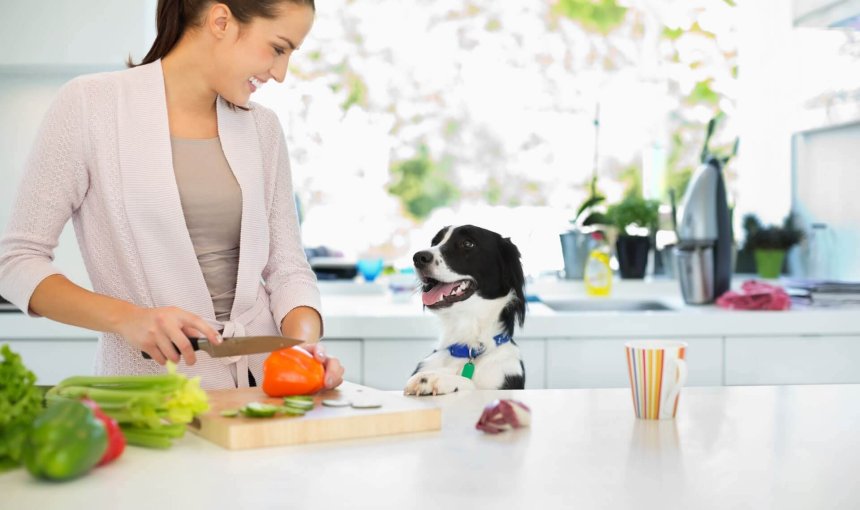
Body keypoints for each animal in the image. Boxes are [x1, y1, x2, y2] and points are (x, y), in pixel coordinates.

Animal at [404, 225, 524, 396]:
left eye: (468, 243)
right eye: (435, 242)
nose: (418, 257)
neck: (467, 347)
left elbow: (471, 385)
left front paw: (434, 378)